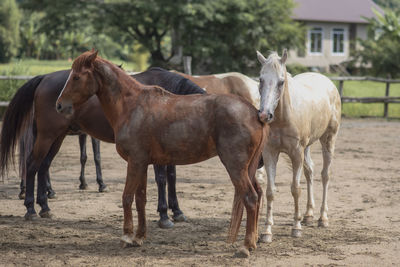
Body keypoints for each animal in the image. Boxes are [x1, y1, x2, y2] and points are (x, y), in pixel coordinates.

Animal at [55, 50, 268, 258]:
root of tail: (254, 112)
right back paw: (254, 241)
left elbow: (127, 197)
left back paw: (245, 246)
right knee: (258, 194)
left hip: (235, 167)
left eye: (76, 77)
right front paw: (139, 237)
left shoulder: (134, 162)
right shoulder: (142, 164)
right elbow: (140, 199)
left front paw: (126, 236)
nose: (59, 105)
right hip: (247, 168)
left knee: (251, 197)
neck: (132, 105)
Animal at [256, 49, 340, 243]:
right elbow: (270, 191)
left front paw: (296, 228)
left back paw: (322, 218)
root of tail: (328, 82)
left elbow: (295, 189)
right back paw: (308, 215)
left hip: (328, 140)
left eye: (281, 81)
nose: (264, 115)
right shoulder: (270, 153)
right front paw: (267, 232)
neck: (283, 117)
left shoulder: (296, 153)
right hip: (307, 147)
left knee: (325, 175)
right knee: (310, 171)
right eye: (260, 79)